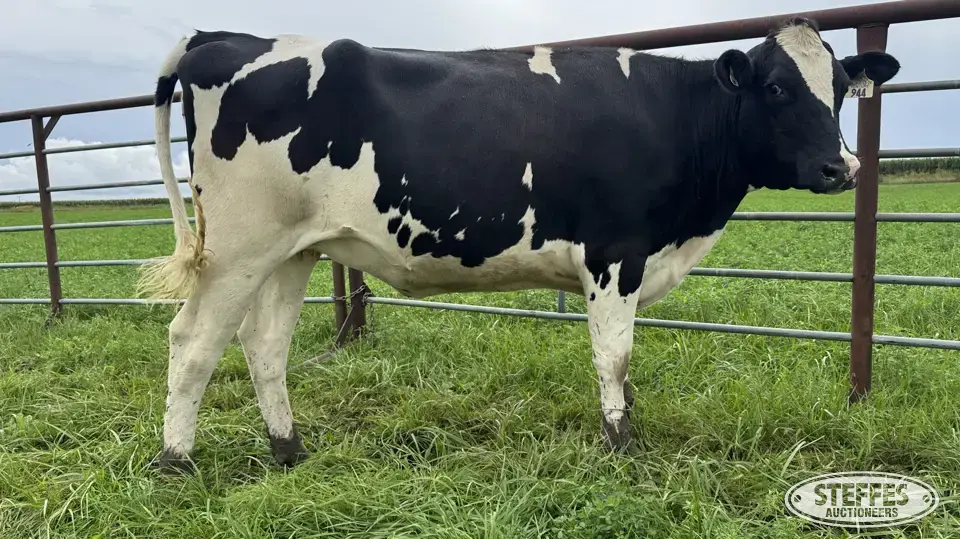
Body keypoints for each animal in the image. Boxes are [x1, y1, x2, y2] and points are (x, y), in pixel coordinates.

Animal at [138, 17, 900, 472]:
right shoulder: (614, 254)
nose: (840, 168)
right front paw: (621, 448)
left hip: (292, 248)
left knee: (264, 346)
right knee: (192, 342)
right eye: (775, 88)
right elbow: (615, 357)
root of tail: (223, 37)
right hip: (238, 246)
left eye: (839, 87)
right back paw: (177, 462)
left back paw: (289, 449)